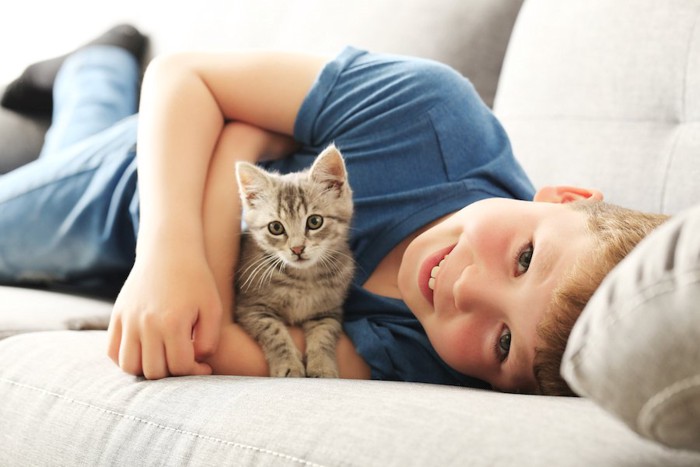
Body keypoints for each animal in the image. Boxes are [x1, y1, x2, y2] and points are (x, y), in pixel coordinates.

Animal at [235, 146, 356, 380]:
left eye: (315, 221)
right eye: (275, 227)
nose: (297, 249)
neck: (304, 279)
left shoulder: (328, 311)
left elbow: (324, 335)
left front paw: (322, 366)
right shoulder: (250, 307)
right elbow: (274, 333)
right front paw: (288, 365)